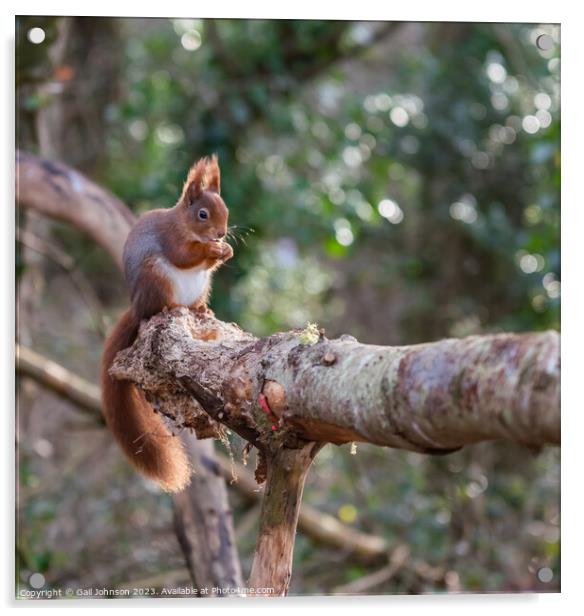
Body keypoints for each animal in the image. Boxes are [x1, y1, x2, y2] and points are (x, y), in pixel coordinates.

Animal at [101, 156, 234, 494]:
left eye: (226, 210)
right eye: (203, 214)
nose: (221, 234)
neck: (185, 224)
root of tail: (136, 307)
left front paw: (226, 251)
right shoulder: (171, 239)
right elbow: (184, 255)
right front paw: (211, 250)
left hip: (202, 286)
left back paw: (201, 309)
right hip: (156, 277)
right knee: (157, 306)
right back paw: (169, 308)